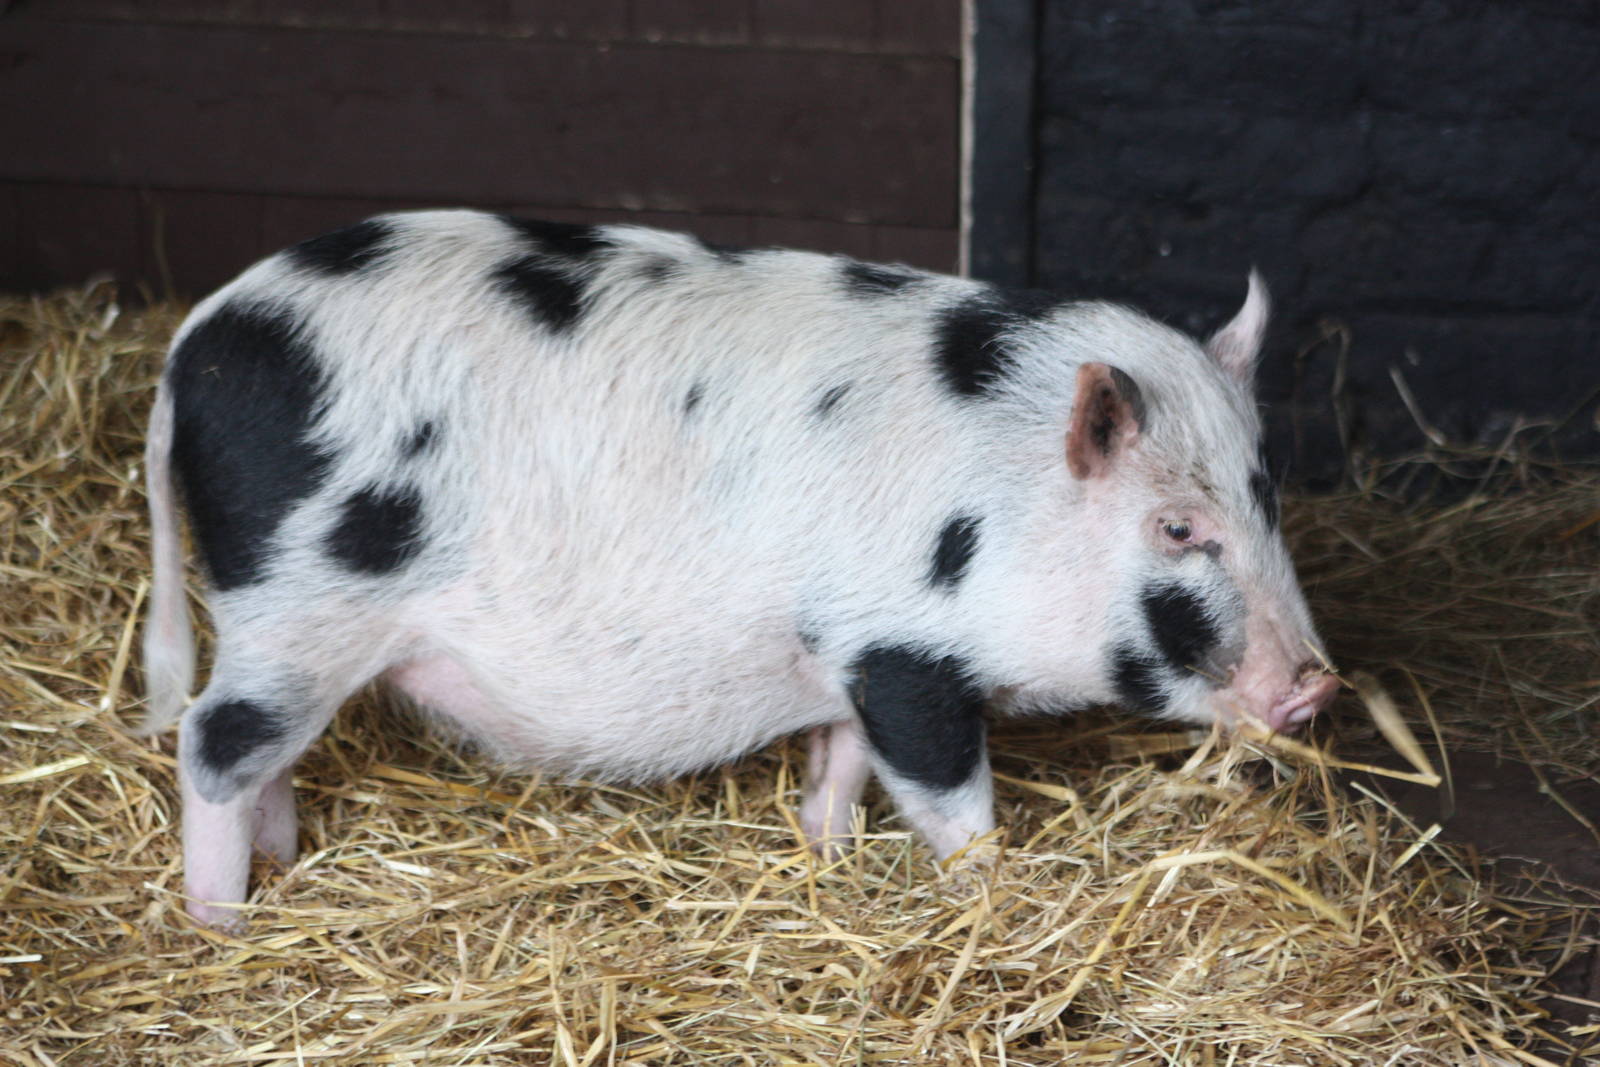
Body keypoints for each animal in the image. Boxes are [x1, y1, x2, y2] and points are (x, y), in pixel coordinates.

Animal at [139, 209, 1338, 927]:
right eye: (1178, 528)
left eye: (1267, 497)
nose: (1319, 683)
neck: (1004, 502)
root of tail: (198, 340)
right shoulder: (907, 655)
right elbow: (953, 800)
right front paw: (990, 899)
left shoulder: (852, 646)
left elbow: (844, 761)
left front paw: (824, 850)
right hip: (301, 606)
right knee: (211, 740)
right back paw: (224, 918)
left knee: (261, 751)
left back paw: (284, 863)